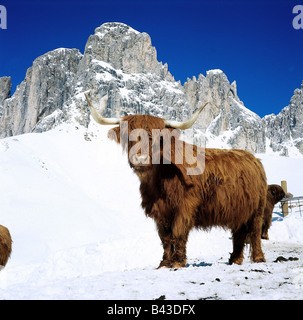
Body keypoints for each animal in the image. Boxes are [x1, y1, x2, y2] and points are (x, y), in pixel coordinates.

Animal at [84, 92, 268, 268]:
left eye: (155, 138)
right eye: (128, 136)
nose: (141, 159)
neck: (159, 181)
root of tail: (254, 158)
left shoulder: (185, 207)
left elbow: (178, 233)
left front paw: (178, 262)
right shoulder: (159, 211)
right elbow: (165, 237)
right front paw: (164, 263)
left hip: (257, 209)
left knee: (255, 231)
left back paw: (258, 258)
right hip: (239, 210)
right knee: (239, 233)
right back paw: (235, 260)